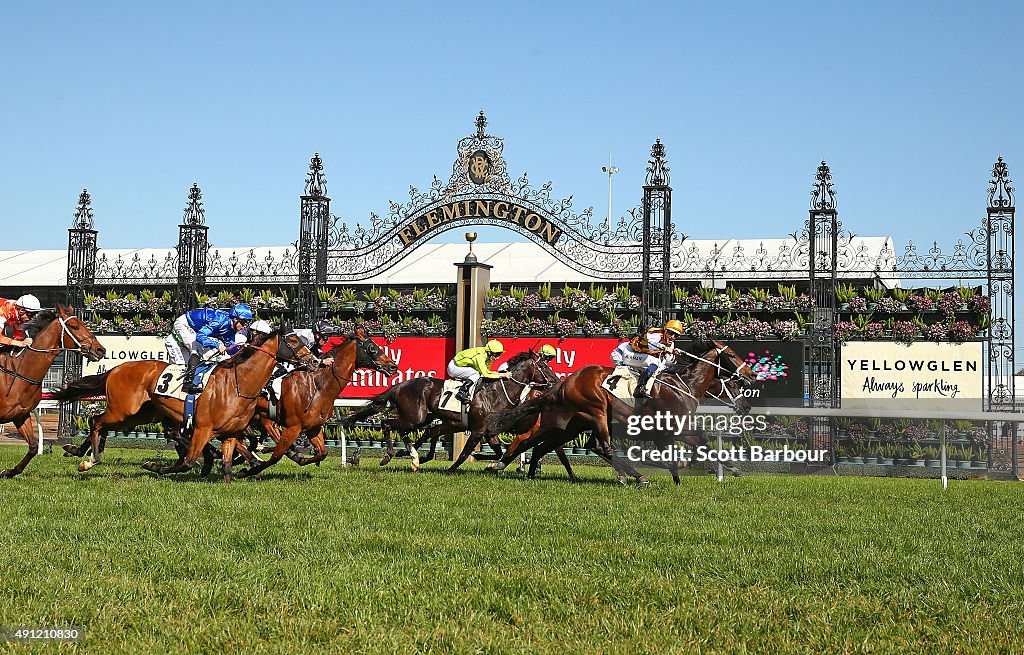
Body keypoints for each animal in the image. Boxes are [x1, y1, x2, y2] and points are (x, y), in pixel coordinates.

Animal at [0, 307, 105, 474]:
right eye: (75, 326)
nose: (100, 350)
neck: (18, 373)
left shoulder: (20, 415)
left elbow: (33, 447)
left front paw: (9, 472)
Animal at [50, 327, 315, 481]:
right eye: (293, 340)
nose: (314, 360)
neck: (238, 383)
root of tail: (117, 368)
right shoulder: (203, 429)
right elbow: (187, 462)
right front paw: (153, 466)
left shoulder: (231, 433)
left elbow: (228, 466)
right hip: (123, 411)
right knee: (96, 421)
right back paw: (88, 459)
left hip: (141, 414)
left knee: (103, 425)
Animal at [237, 331, 397, 474]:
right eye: (372, 348)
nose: (393, 366)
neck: (318, 387)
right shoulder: (291, 427)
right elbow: (276, 456)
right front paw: (248, 471)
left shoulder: (313, 427)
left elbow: (322, 452)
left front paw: (301, 457)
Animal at [342, 350, 561, 472]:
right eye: (543, 366)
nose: (556, 380)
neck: (496, 393)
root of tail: (401, 385)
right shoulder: (478, 431)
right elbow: (464, 454)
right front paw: (451, 469)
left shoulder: (489, 432)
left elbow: (500, 452)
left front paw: (490, 464)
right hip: (415, 417)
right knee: (386, 424)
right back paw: (390, 456)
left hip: (422, 418)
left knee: (410, 430)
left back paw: (413, 457)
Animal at [483, 339, 757, 483]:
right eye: (732, 355)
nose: (751, 375)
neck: (683, 386)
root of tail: (565, 382)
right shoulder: (670, 429)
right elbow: (691, 446)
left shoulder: (671, 430)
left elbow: (700, 443)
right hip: (596, 412)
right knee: (598, 446)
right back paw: (636, 476)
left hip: (570, 424)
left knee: (540, 444)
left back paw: (517, 469)